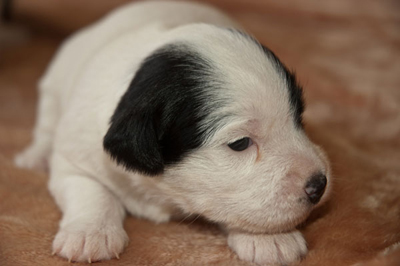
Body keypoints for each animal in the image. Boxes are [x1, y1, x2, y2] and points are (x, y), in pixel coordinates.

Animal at [14, 1, 332, 264]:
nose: (319, 185)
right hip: (54, 86)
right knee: (46, 125)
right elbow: (91, 190)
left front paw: (269, 237)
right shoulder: (74, 159)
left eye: (298, 118)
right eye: (240, 143)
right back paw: (35, 156)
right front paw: (90, 233)